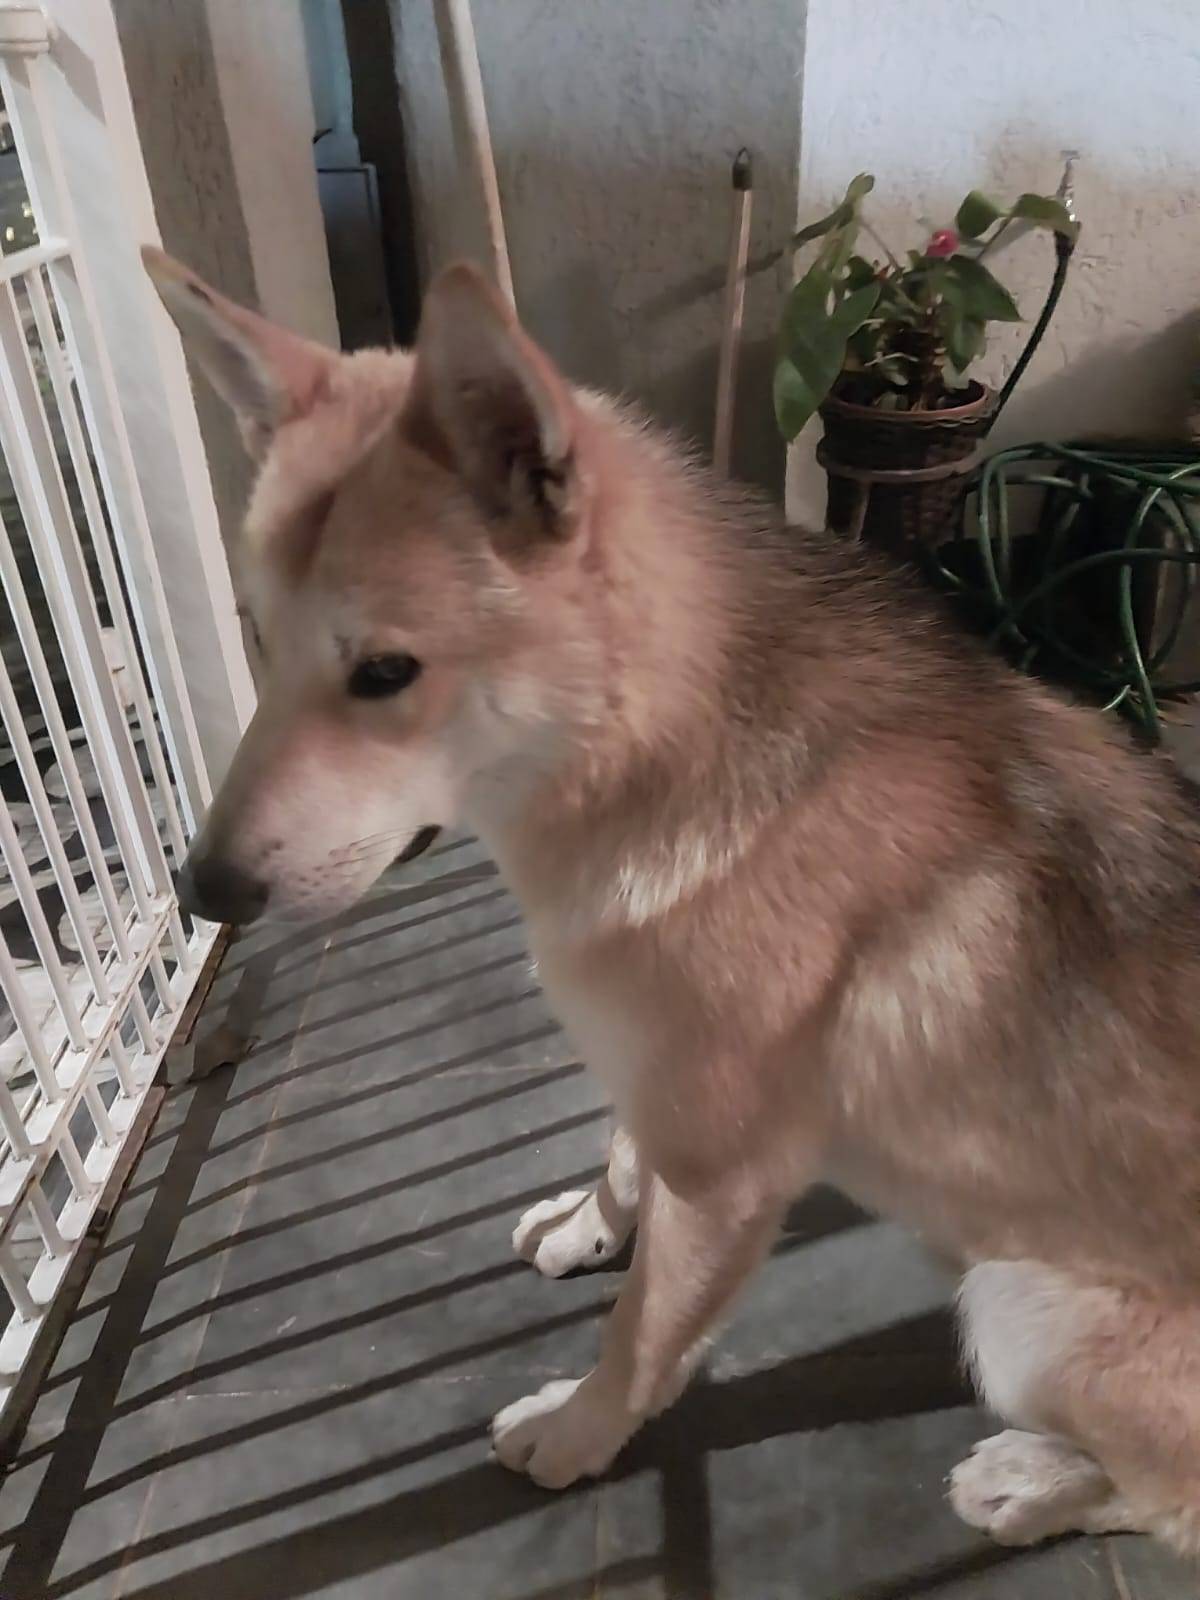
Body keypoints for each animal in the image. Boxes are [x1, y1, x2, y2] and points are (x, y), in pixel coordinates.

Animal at [145, 243, 1200, 1555]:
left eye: (385, 672)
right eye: (256, 638)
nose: (201, 889)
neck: (644, 755)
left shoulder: (723, 1176)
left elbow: (642, 1334)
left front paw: (578, 1431)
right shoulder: (659, 1086)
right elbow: (618, 1149)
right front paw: (591, 1224)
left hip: (1017, 1309)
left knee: (1167, 1501)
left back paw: (1029, 1483)